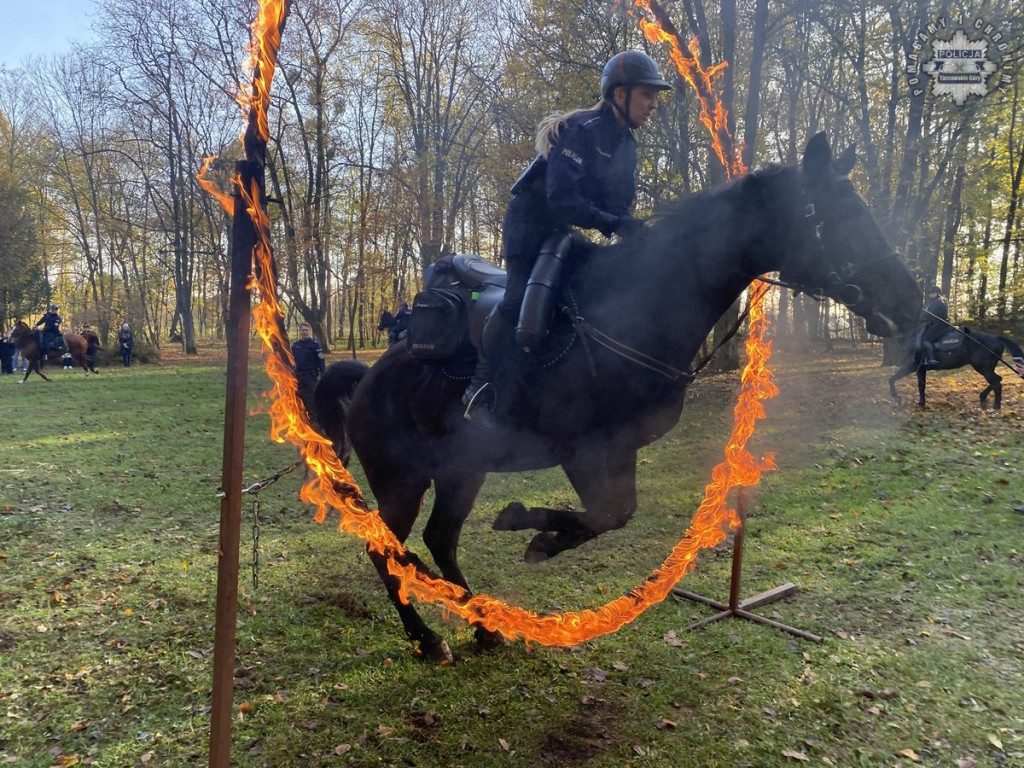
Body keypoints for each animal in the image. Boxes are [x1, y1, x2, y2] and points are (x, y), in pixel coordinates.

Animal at [311, 134, 921, 663]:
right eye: (834, 214)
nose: (909, 300)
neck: (631, 311)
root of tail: (369, 376)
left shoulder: (617, 451)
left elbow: (614, 514)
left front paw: (539, 534)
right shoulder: (583, 450)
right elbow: (606, 513)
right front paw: (529, 528)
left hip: (462, 471)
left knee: (440, 540)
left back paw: (484, 627)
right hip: (403, 480)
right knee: (384, 549)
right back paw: (428, 639)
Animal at [888, 329, 1024, 411]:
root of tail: (996, 338)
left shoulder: (912, 366)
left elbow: (901, 381)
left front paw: (899, 398)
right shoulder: (919, 368)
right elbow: (915, 384)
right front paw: (916, 401)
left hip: (984, 368)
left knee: (996, 383)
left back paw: (995, 406)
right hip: (986, 368)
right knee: (998, 380)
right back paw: (984, 399)